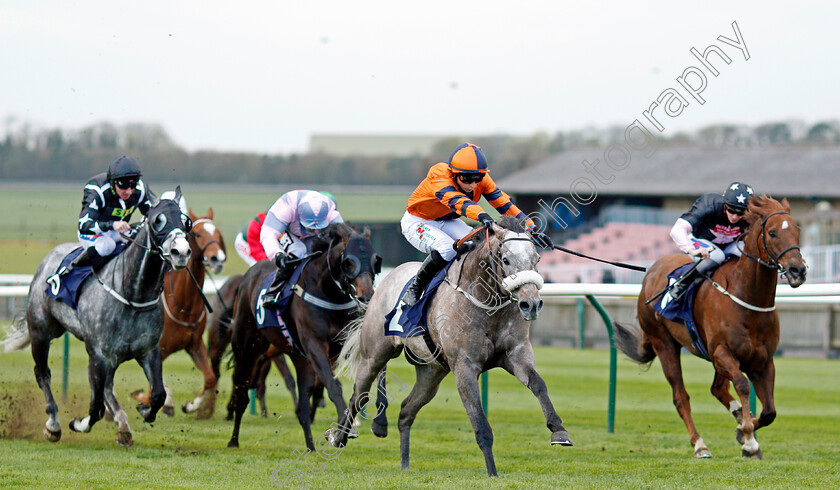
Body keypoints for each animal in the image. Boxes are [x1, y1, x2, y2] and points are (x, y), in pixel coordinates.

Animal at [5, 188, 192, 448]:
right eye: (157, 220)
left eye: (186, 221)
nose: (181, 252)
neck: (132, 293)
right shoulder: (98, 355)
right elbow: (95, 409)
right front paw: (77, 423)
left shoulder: (148, 350)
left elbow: (157, 394)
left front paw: (144, 409)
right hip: (41, 332)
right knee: (43, 374)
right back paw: (53, 424)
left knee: (108, 388)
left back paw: (122, 425)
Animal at [130, 208, 225, 418]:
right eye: (197, 234)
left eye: (218, 234)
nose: (218, 259)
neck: (183, 305)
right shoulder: (158, 349)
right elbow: (154, 387)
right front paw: (149, 402)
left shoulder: (194, 344)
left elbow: (210, 378)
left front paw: (190, 406)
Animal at [332, 217, 576, 474]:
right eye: (506, 260)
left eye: (537, 258)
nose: (532, 304)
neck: (484, 300)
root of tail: (385, 281)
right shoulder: (464, 366)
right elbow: (479, 422)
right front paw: (492, 472)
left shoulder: (517, 353)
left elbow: (538, 384)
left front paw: (559, 431)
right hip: (374, 354)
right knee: (358, 396)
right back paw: (339, 437)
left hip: (431, 373)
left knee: (406, 411)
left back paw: (404, 463)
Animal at [612, 195, 812, 460]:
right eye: (772, 233)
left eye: (797, 230)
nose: (798, 270)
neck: (748, 297)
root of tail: (651, 271)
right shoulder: (722, 352)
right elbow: (742, 385)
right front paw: (748, 438)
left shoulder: (762, 360)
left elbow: (770, 411)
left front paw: (744, 430)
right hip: (664, 344)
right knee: (681, 397)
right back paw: (700, 444)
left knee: (717, 389)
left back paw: (736, 414)